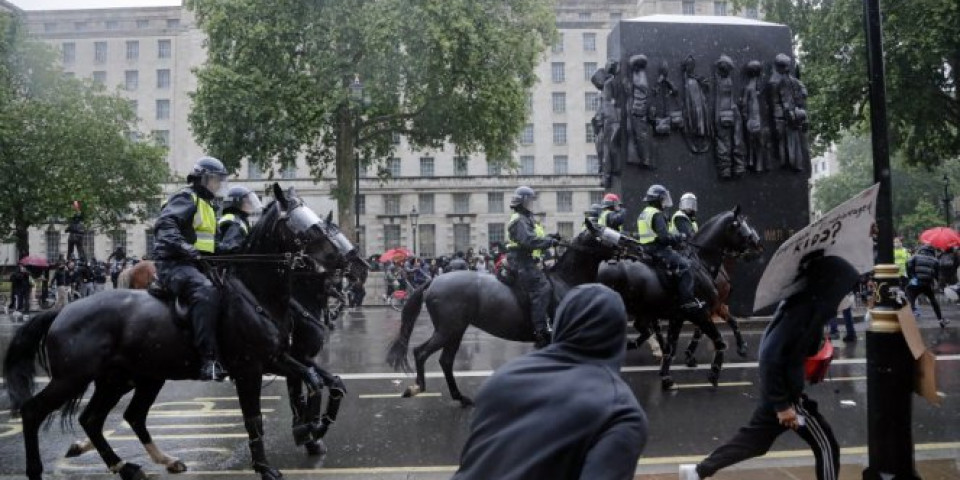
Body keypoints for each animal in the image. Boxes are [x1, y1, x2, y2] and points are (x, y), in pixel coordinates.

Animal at [4, 185, 356, 480]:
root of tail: (63, 311)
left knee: (105, 418)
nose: (350, 260)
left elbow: (324, 382)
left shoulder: (280, 358)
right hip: (74, 377)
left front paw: (311, 430)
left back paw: (132, 465)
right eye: (308, 226)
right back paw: (36, 469)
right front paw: (275, 459)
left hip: (126, 378)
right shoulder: (251, 368)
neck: (258, 295)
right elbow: (259, 414)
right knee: (36, 411)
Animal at [388, 223, 624, 406]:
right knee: (421, 352)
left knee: (445, 360)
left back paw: (460, 397)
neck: (565, 280)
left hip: (455, 331)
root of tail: (434, 280)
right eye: (604, 233)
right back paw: (418, 387)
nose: (630, 244)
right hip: (449, 329)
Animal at [600, 206, 756, 390]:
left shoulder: (680, 316)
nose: (756, 244)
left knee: (645, 330)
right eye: (740, 226)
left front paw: (666, 375)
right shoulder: (701, 312)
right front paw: (712, 372)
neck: (700, 261)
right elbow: (718, 340)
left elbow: (672, 344)